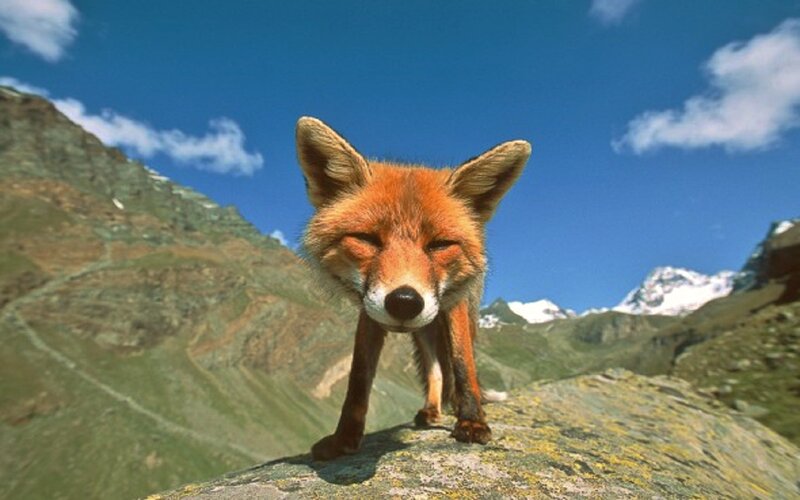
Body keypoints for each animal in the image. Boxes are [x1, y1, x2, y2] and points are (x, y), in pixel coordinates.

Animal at [296, 116, 531, 460]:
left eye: (440, 244)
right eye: (367, 239)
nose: (405, 301)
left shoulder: (454, 305)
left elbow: (463, 364)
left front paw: (472, 421)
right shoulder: (370, 310)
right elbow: (358, 378)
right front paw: (344, 439)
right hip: (424, 329)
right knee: (435, 371)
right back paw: (431, 410)